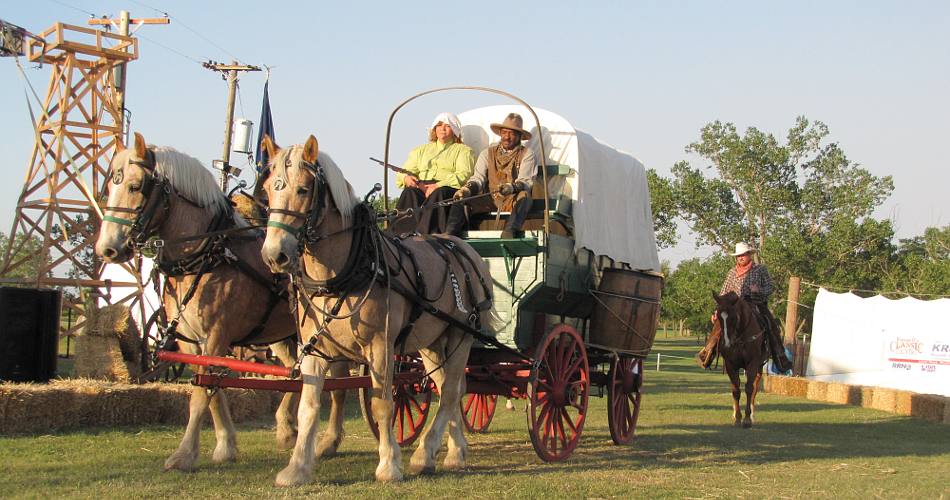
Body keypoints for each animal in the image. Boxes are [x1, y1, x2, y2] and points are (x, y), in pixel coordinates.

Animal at [96, 132, 354, 468]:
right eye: (109, 188)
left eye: (136, 186)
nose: (107, 249)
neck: (207, 254)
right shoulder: (191, 342)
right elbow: (211, 389)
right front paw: (225, 444)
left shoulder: (217, 335)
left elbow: (201, 395)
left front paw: (184, 454)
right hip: (282, 336)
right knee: (293, 374)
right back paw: (287, 428)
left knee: (337, 384)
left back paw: (329, 438)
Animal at [260, 135, 498, 486]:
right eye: (267, 189)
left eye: (303, 189)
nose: (274, 255)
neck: (346, 270)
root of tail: (465, 249)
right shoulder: (315, 349)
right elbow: (309, 406)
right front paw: (297, 467)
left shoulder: (380, 346)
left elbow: (382, 404)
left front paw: (388, 465)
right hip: (430, 342)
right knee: (449, 388)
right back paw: (453, 451)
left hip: (460, 336)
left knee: (451, 391)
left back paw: (425, 453)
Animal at [712, 292, 772, 428]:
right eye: (719, 317)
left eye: (733, 317)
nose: (727, 344)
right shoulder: (730, 365)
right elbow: (735, 390)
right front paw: (738, 418)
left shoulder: (752, 364)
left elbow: (749, 389)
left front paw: (747, 419)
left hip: (759, 368)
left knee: (754, 388)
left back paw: (752, 415)